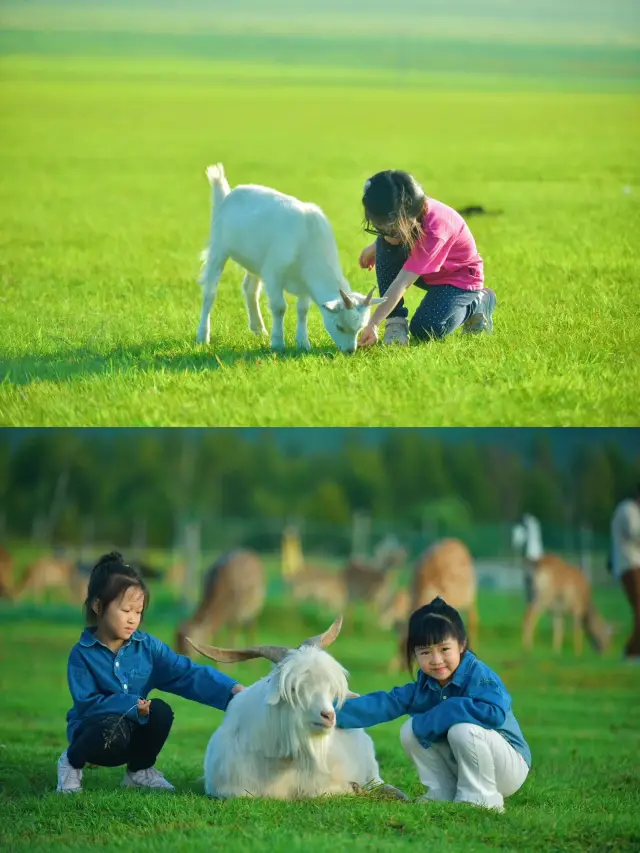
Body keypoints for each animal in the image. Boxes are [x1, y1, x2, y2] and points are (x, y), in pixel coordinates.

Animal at [195, 163, 384, 352]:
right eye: (339, 326)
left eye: (359, 328)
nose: (350, 351)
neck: (308, 237)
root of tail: (226, 195)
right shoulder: (274, 273)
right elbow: (279, 307)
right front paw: (278, 343)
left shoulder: (304, 282)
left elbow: (303, 309)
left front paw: (303, 342)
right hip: (218, 249)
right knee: (209, 293)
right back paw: (203, 336)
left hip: (256, 263)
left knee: (250, 289)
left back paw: (259, 330)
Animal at [512, 512, 612, 652]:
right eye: (606, 636)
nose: (605, 650)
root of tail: (533, 567)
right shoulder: (577, 607)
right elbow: (576, 628)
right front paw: (578, 651)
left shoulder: (558, 610)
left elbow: (558, 627)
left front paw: (556, 650)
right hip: (542, 597)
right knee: (530, 617)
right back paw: (528, 647)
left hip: (528, 596)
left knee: (526, 616)